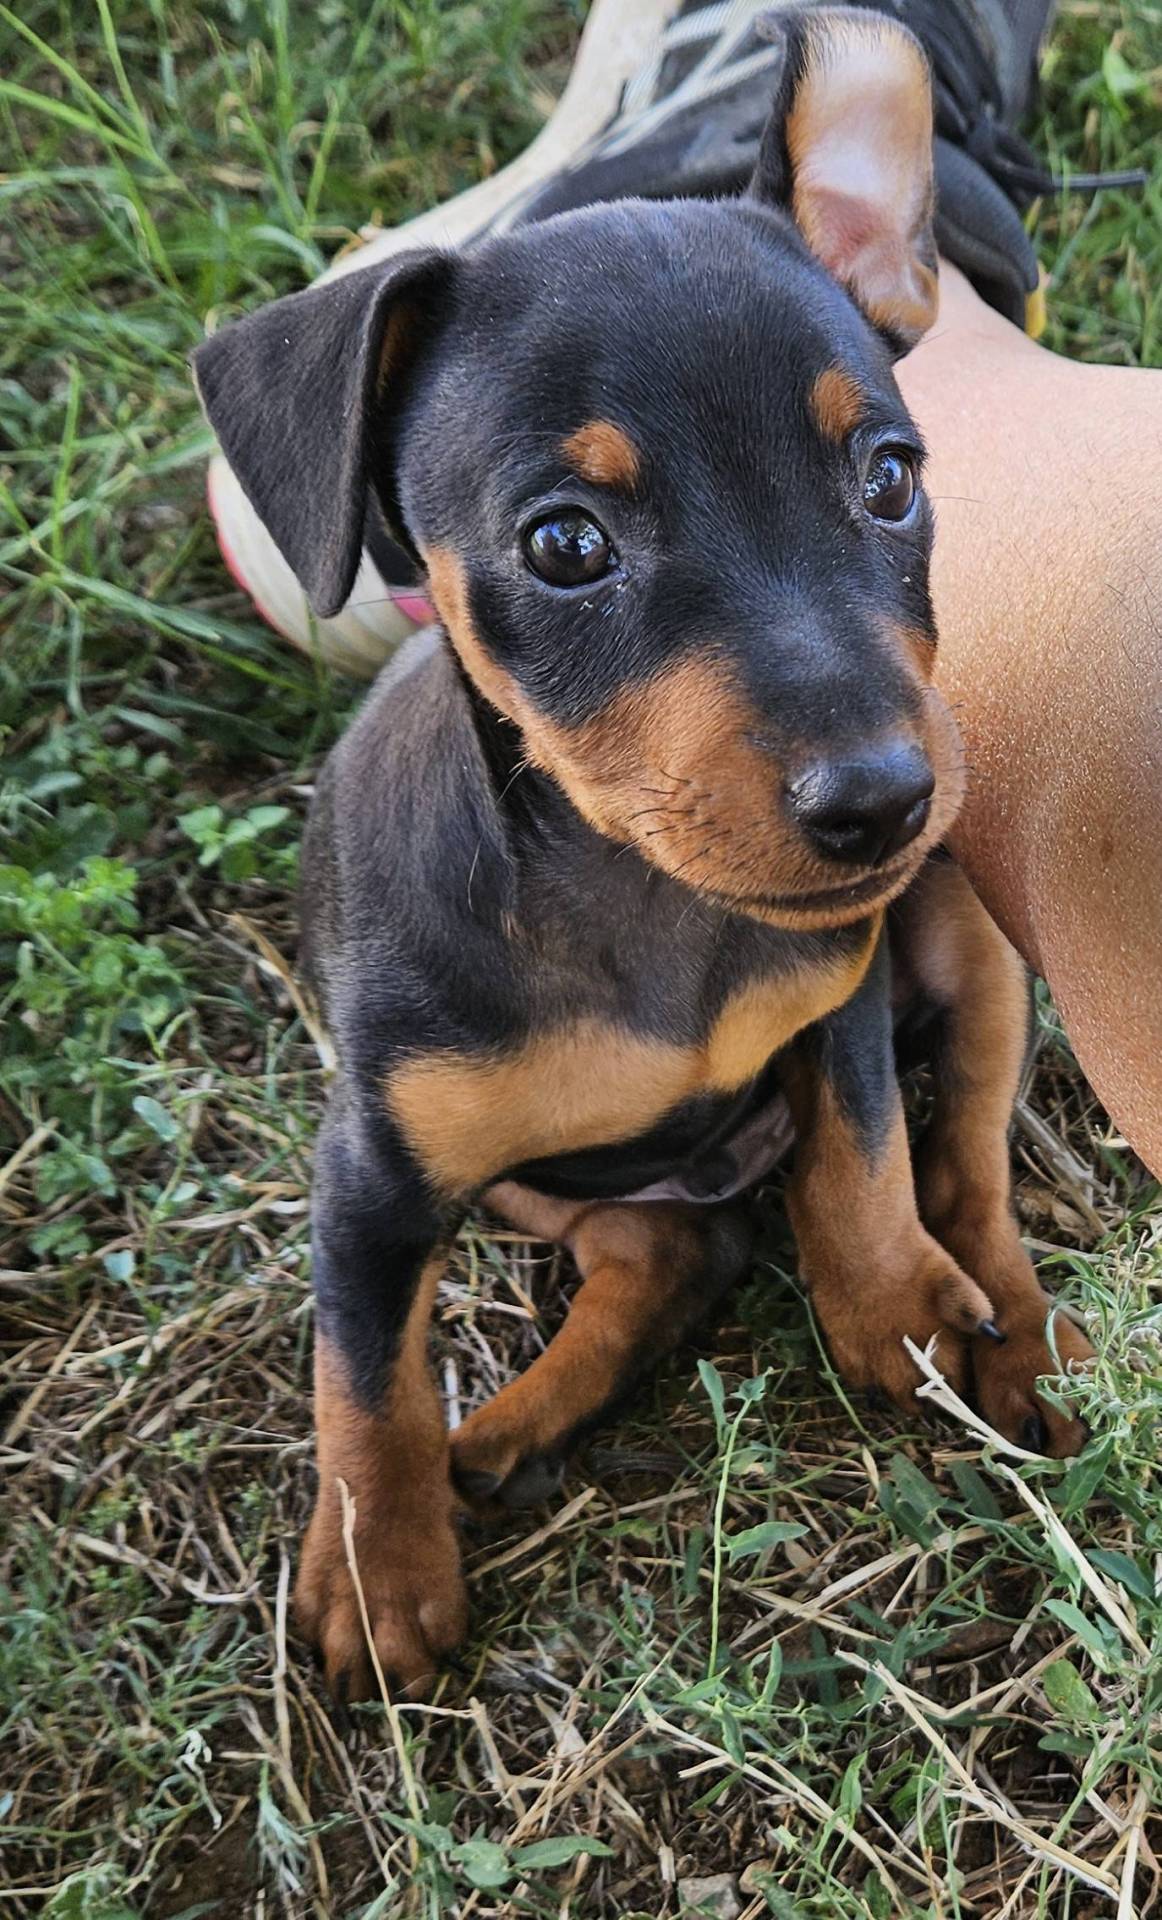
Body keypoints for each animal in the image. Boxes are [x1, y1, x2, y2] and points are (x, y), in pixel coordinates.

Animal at [190, 11, 1090, 1697]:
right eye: (563, 545)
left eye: (890, 476)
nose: (881, 801)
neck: (641, 899)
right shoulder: (373, 1176)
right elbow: (362, 1377)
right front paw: (379, 1565)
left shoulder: (840, 1000)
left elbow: (866, 1154)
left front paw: (893, 1311)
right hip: (521, 1174)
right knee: (664, 1247)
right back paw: (503, 1437)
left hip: (971, 953)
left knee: (960, 1157)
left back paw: (1016, 1333)